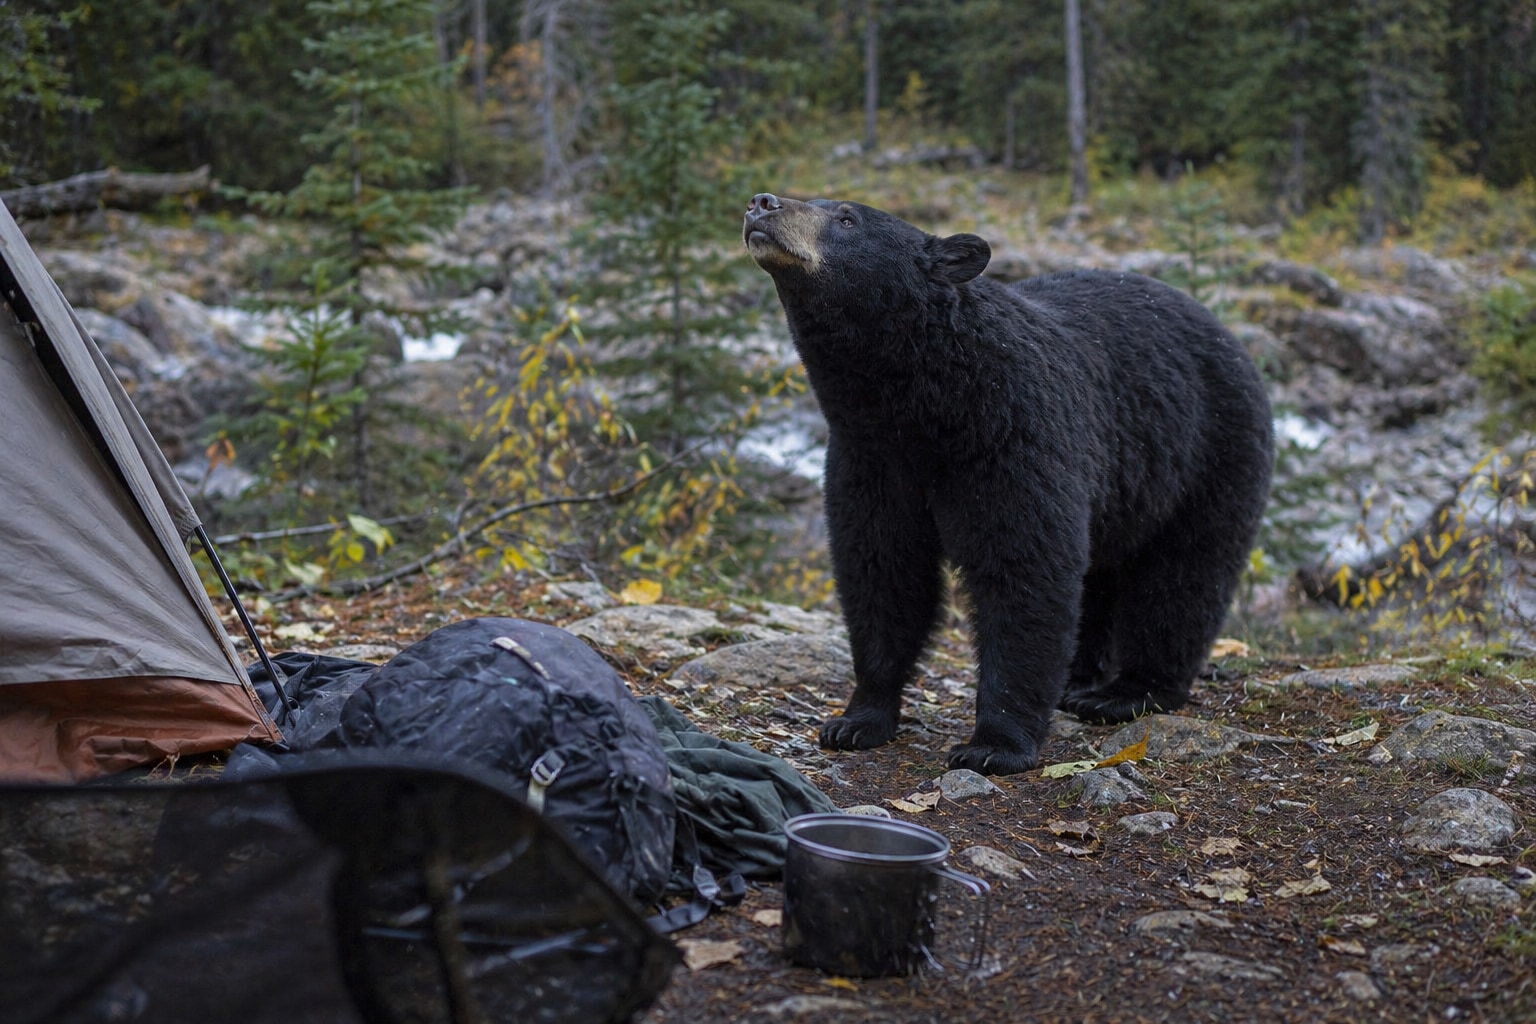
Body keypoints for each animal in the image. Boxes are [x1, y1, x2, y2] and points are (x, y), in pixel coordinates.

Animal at [743, 192, 1273, 775]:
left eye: (846, 218)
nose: (762, 203)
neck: (923, 403)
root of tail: (1233, 340)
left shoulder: (1013, 435)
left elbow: (1022, 566)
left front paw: (994, 743)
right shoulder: (869, 457)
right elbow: (882, 568)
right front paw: (859, 718)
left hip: (1208, 454)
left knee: (1183, 577)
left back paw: (1126, 692)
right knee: (1102, 575)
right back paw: (1077, 679)